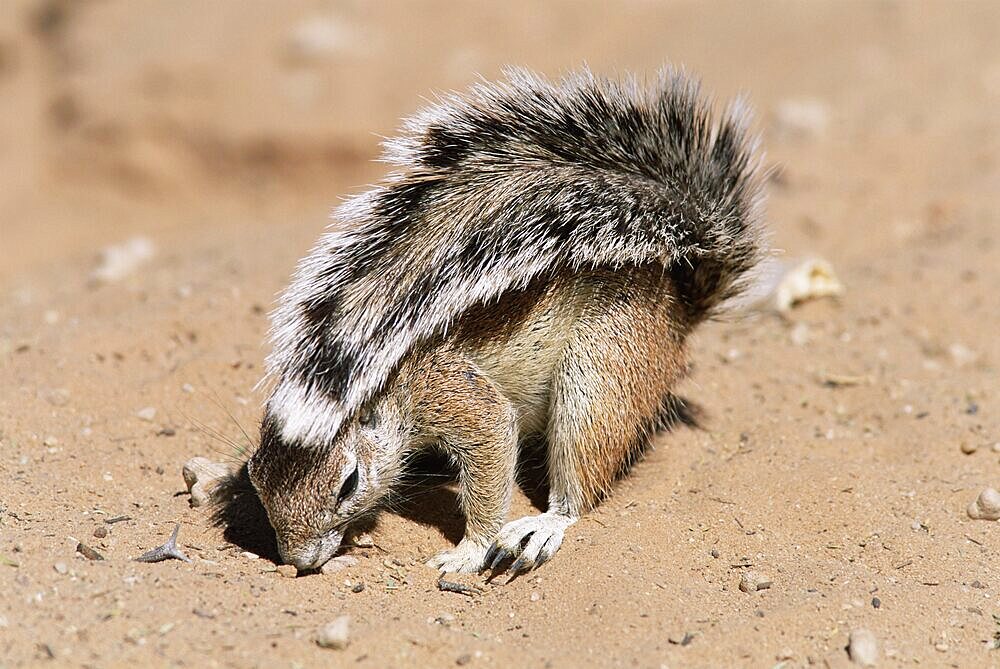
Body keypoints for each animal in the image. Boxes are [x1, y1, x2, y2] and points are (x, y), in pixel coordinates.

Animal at [248, 65, 764, 572]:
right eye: (254, 476)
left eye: (349, 483)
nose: (296, 561)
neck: (382, 379)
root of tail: (678, 305)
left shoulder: (454, 392)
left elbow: (493, 445)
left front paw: (469, 551)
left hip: (602, 367)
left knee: (579, 482)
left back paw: (542, 527)